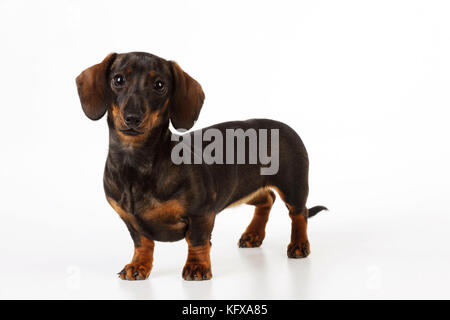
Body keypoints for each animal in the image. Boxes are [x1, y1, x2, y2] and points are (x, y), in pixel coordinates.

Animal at [74, 52, 326, 280]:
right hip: (246, 189)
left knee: (299, 213)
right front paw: (138, 266)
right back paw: (253, 234)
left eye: (159, 85)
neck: (136, 164)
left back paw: (299, 244)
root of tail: (284, 125)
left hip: (293, 186)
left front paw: (197, 267)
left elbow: (197, 242)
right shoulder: (130, 221)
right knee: (267, 200)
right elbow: (142, 243)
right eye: (118, 80)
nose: (133, 118)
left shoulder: (201, 214)